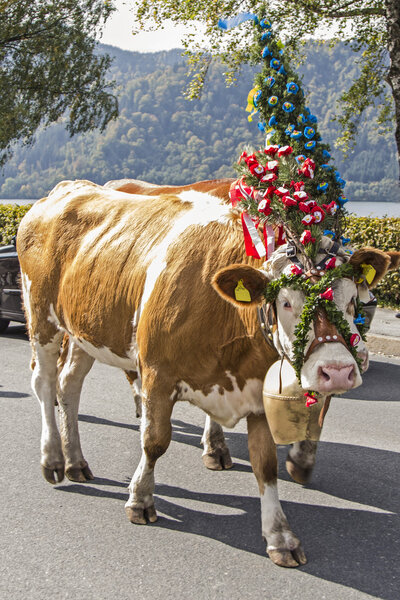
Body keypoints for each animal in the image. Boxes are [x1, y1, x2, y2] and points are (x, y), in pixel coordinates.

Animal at [15, 178, 396, 568]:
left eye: (351, 299)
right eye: (286, 302)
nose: (338, 370)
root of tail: (70, 187)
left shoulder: (255, 391)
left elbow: (266, 463)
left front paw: (280, 535)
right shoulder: (157, 373)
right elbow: (154, 441)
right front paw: (140, 498)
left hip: (85, 331)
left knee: (69, 386)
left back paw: (76, 460)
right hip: (41, 317)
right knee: (44, 384)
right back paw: (53, 459)